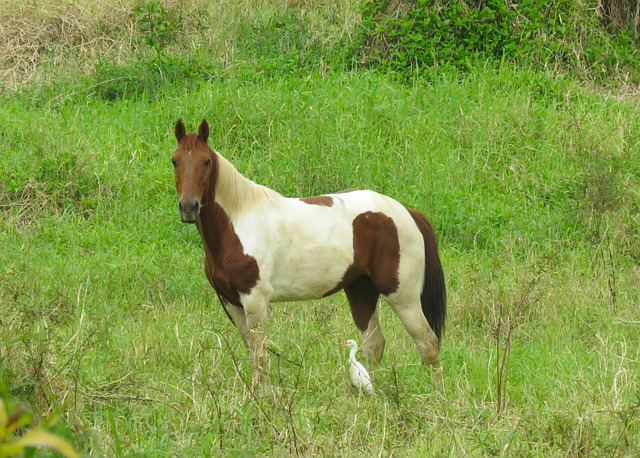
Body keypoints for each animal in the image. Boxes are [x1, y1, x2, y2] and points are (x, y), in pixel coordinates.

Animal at [172, 119, 448, 382]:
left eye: (206, 162)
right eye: (175, 160)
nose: (188, 207)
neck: (239, 223)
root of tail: (407, 213)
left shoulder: (255, 300)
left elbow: (260, 356)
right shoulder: (231, 302)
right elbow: (251, 353)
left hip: (402, 296)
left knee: (427, 343)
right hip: (361, 290)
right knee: (375, 345)